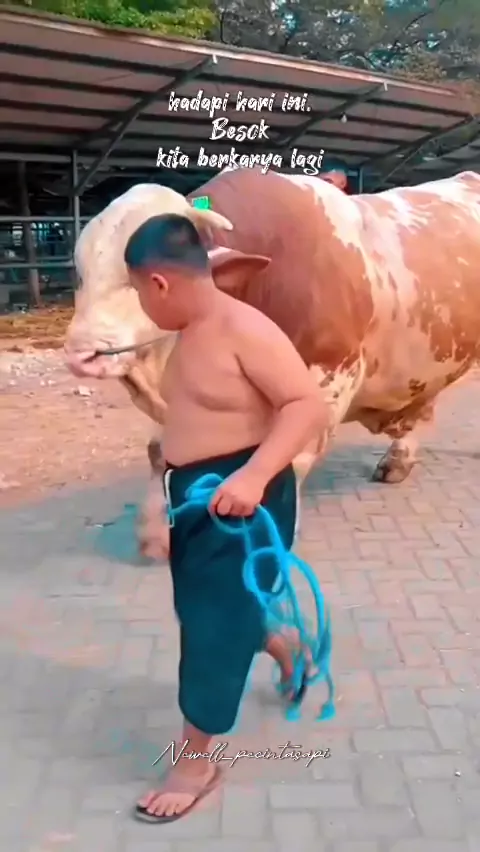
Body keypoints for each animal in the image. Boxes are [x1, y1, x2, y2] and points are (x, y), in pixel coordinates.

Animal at [64, 168, 480, 559]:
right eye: (80, 274)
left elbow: (288, 461)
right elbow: (160, 452)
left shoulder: (326, 381)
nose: (81, 351)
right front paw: (157, 532)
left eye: (148, 279)